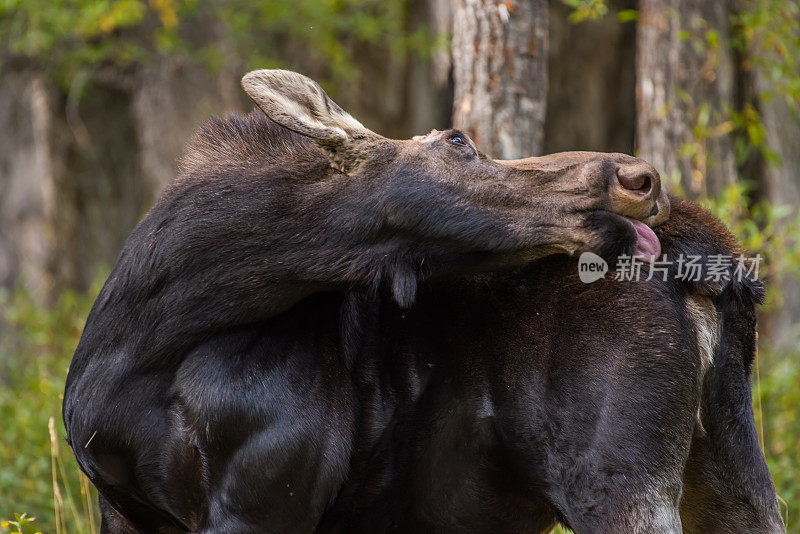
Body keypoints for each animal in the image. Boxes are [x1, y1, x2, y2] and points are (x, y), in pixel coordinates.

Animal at [61, 71, 780, 534]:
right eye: (458, 139)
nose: (640, 178)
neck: (151, 334)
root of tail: (714, 268)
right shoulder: (120, 505)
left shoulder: (262, 500)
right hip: (731, 466)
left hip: (616, 477)